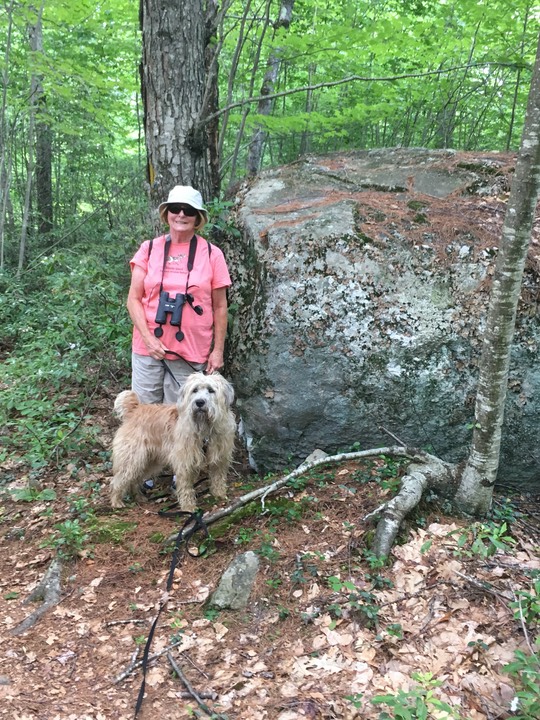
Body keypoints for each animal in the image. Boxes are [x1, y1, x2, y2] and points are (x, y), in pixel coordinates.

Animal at [110, 372, 236, 512]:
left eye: (211, 390)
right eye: (195, 390)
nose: (199, 402)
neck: (205, 428)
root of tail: (135, 409)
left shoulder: (220, 458)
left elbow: (218, 477)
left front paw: (220, 494)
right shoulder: (185, 462)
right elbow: (186, 486)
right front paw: (188, 507)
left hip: (149, 460)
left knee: (135, 478)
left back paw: (139, 497)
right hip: (131, 458)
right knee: (119, 479)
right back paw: (116, 501)